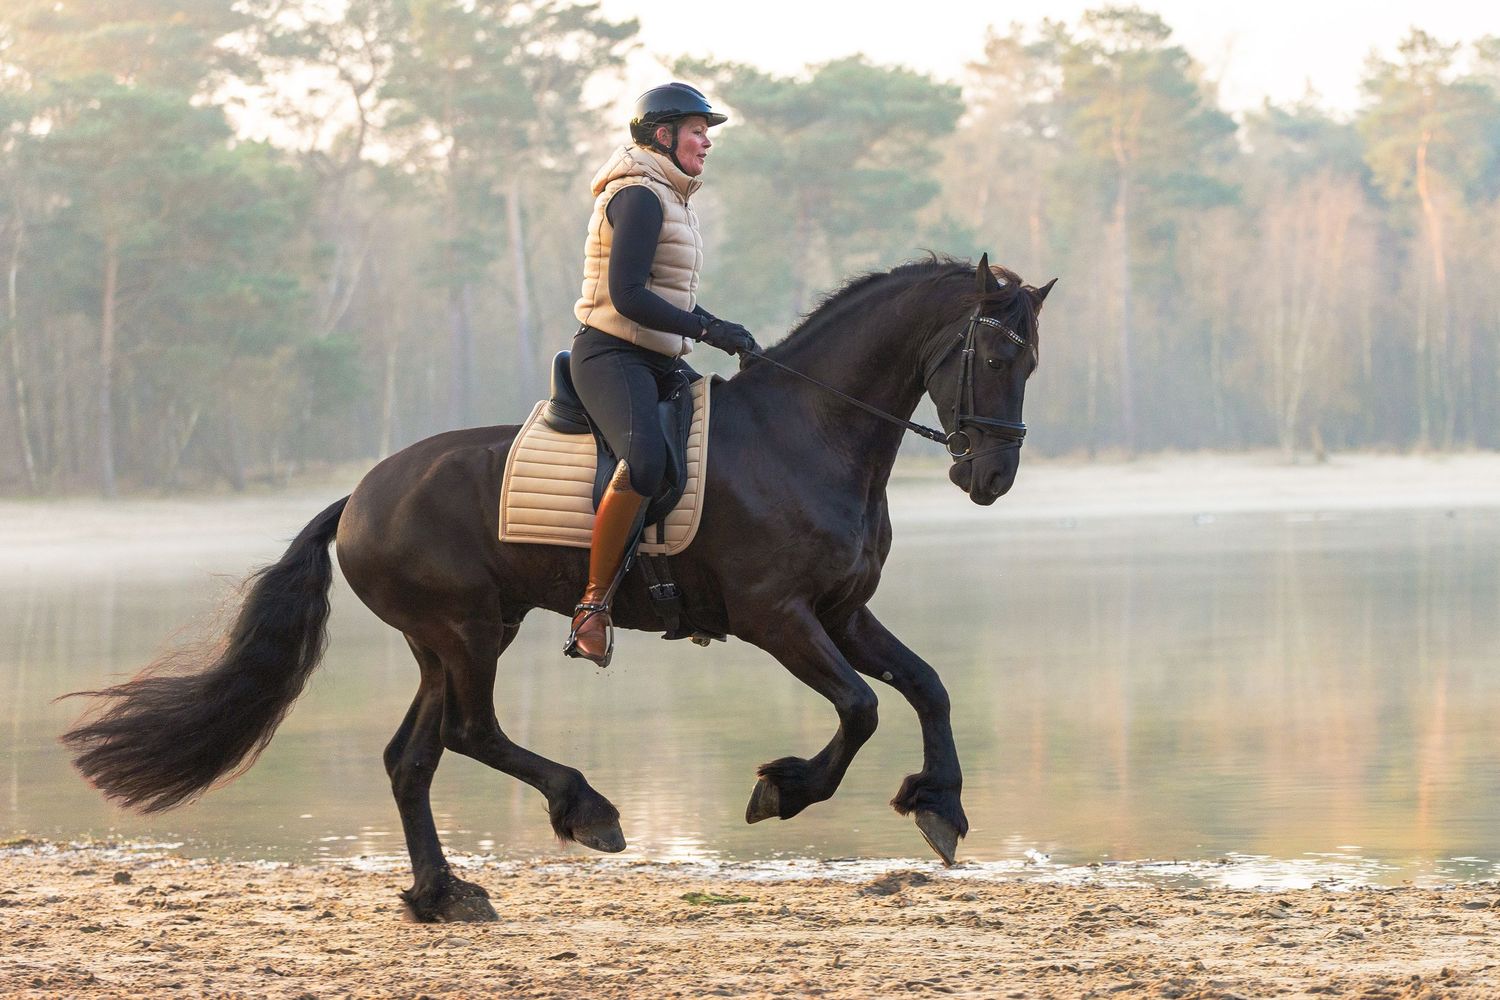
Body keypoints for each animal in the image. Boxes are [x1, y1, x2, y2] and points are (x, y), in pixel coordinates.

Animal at [62, 253, 1055, 923]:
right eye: (993, 355)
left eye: (1031, 363)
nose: (991, 476)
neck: (804, 432)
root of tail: (359, 499)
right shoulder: (777, 616)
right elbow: (861, 708)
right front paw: (784, 789)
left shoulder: (843, 611)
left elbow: (926, 685)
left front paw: (941, 806)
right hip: (465, 630)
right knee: (469, 733)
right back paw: (587, 810)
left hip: (453, 638)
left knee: (412, 756)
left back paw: (443, 893)